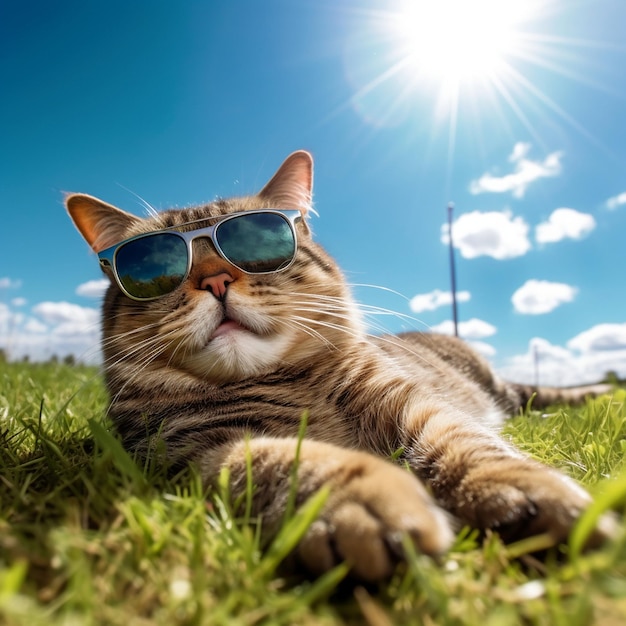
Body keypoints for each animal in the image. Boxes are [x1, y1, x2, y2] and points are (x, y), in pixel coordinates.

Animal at [66, 151, 612, 580]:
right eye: (156, 267)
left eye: (255, 245)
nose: (216, 280)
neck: (281, 382)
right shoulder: (194, 451)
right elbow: (292, 462)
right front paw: (363, 502)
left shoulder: (403, 398)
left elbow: (464, 441)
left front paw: (519, 486)